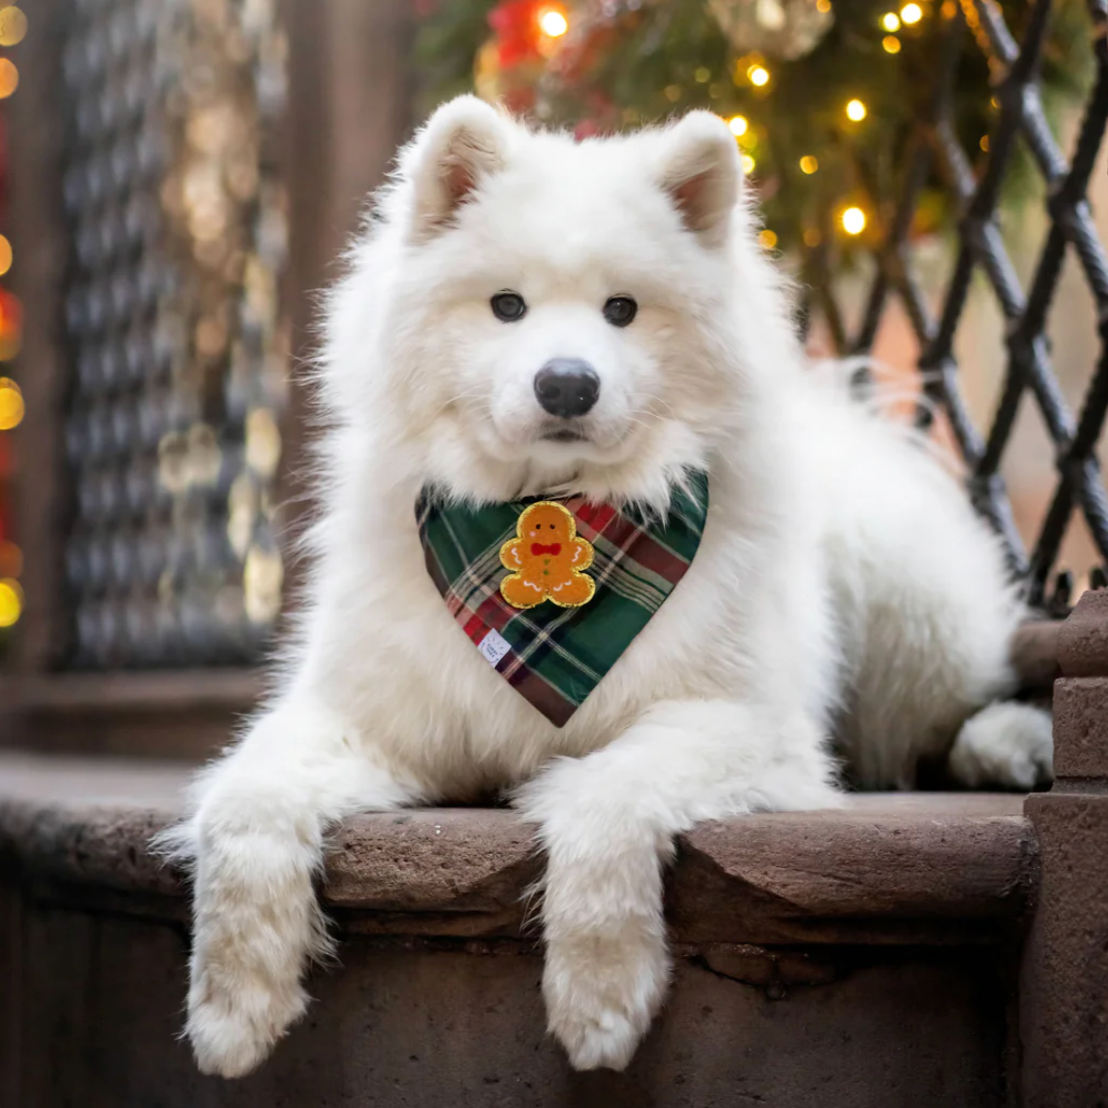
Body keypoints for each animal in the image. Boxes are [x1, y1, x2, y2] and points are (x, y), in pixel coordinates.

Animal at [166, 97, 1054, 1081]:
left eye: (623, 310)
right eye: (506, 306)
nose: (567, 382)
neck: (543, 527)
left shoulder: (737, 724)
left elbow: (602, 798)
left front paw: (600, 1000)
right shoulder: (362, 718)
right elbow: (240, 810)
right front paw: (234, 1011)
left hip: (910, 622)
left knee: (959, 707)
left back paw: (1009, 744)